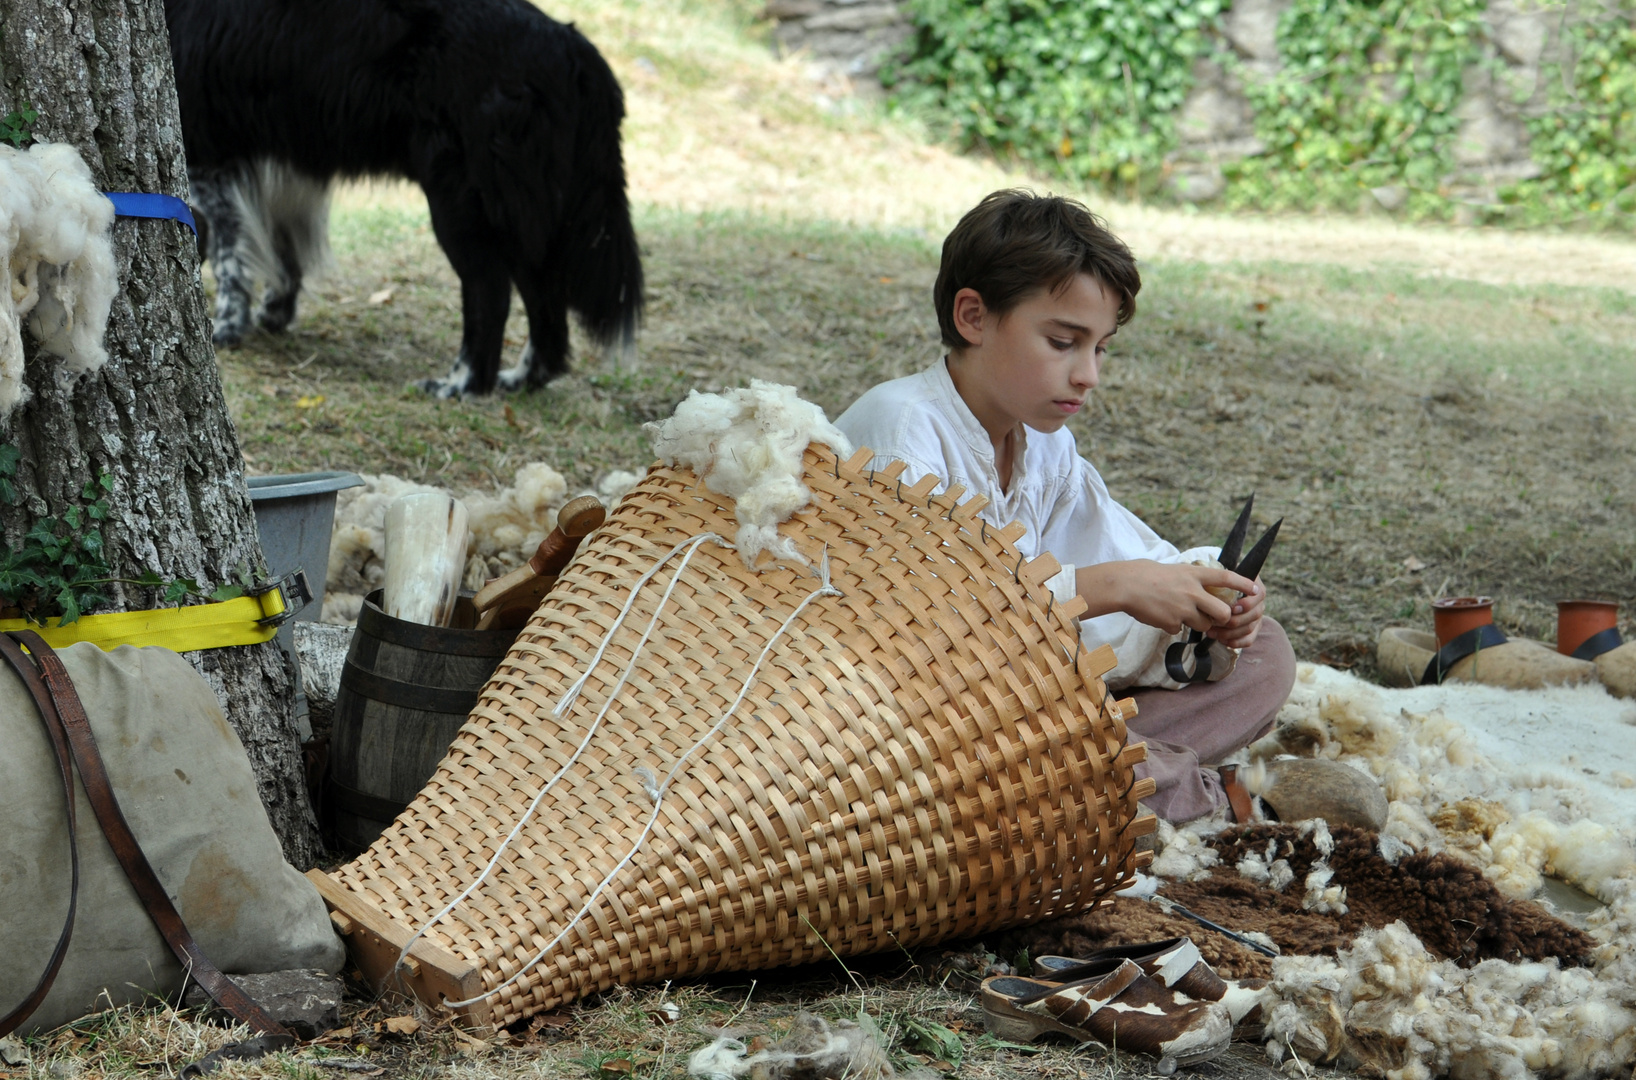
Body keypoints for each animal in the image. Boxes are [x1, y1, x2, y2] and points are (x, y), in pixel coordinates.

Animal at [169, 0, 641, 396]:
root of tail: (572, 46)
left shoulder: (210, 155)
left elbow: (232, 254)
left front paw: (226, 327)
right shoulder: (278, 164)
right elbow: (281, 249)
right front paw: (274, 313)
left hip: (461, 204)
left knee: (489, 291)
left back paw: (461, 384)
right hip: (522, 219)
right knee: (546, 304)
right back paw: (519, 380)